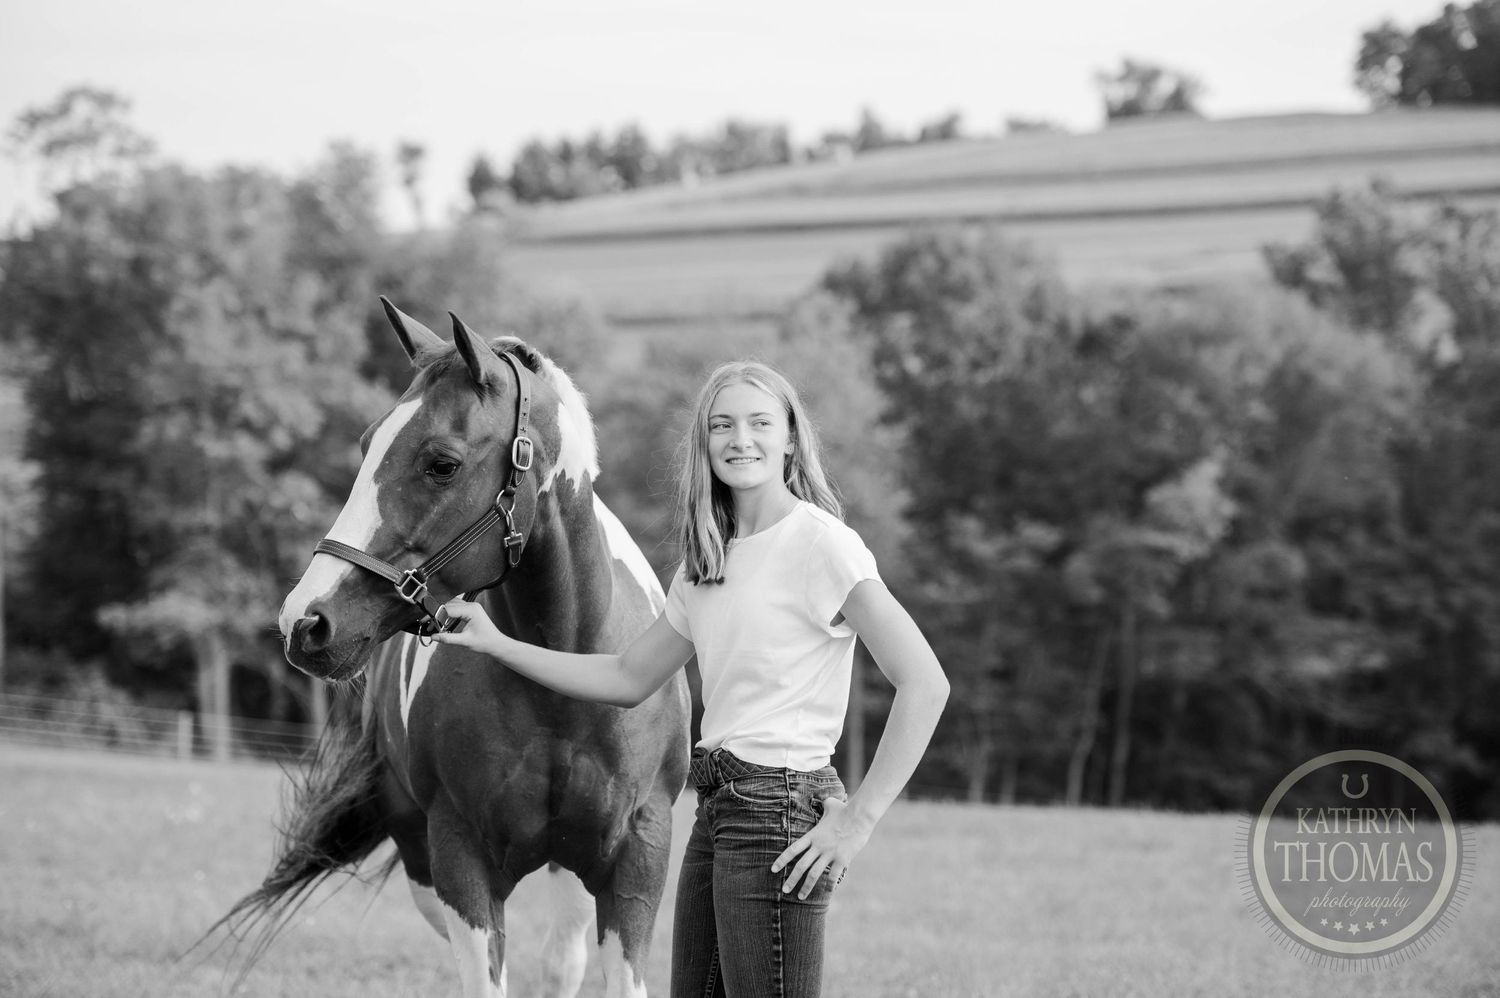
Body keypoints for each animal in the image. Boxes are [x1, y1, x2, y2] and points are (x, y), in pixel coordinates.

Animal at [218, 299, 690, 998]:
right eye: (368, 445)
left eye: (441, 462)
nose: (305, 622)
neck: (563, 676)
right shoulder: (460, 860)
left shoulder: (637, 860)